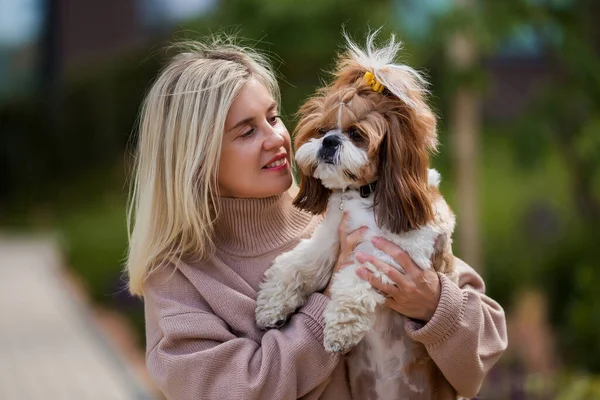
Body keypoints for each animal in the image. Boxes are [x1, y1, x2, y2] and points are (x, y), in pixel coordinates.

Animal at [255, 31, 458, 396]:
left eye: (357, 135)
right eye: (322, 130)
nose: (329, 142)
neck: (369, 192)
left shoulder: (392, 253)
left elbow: (354, 283)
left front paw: (340, 328)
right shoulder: (330, 239)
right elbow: (297, 264)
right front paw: (272, 304)